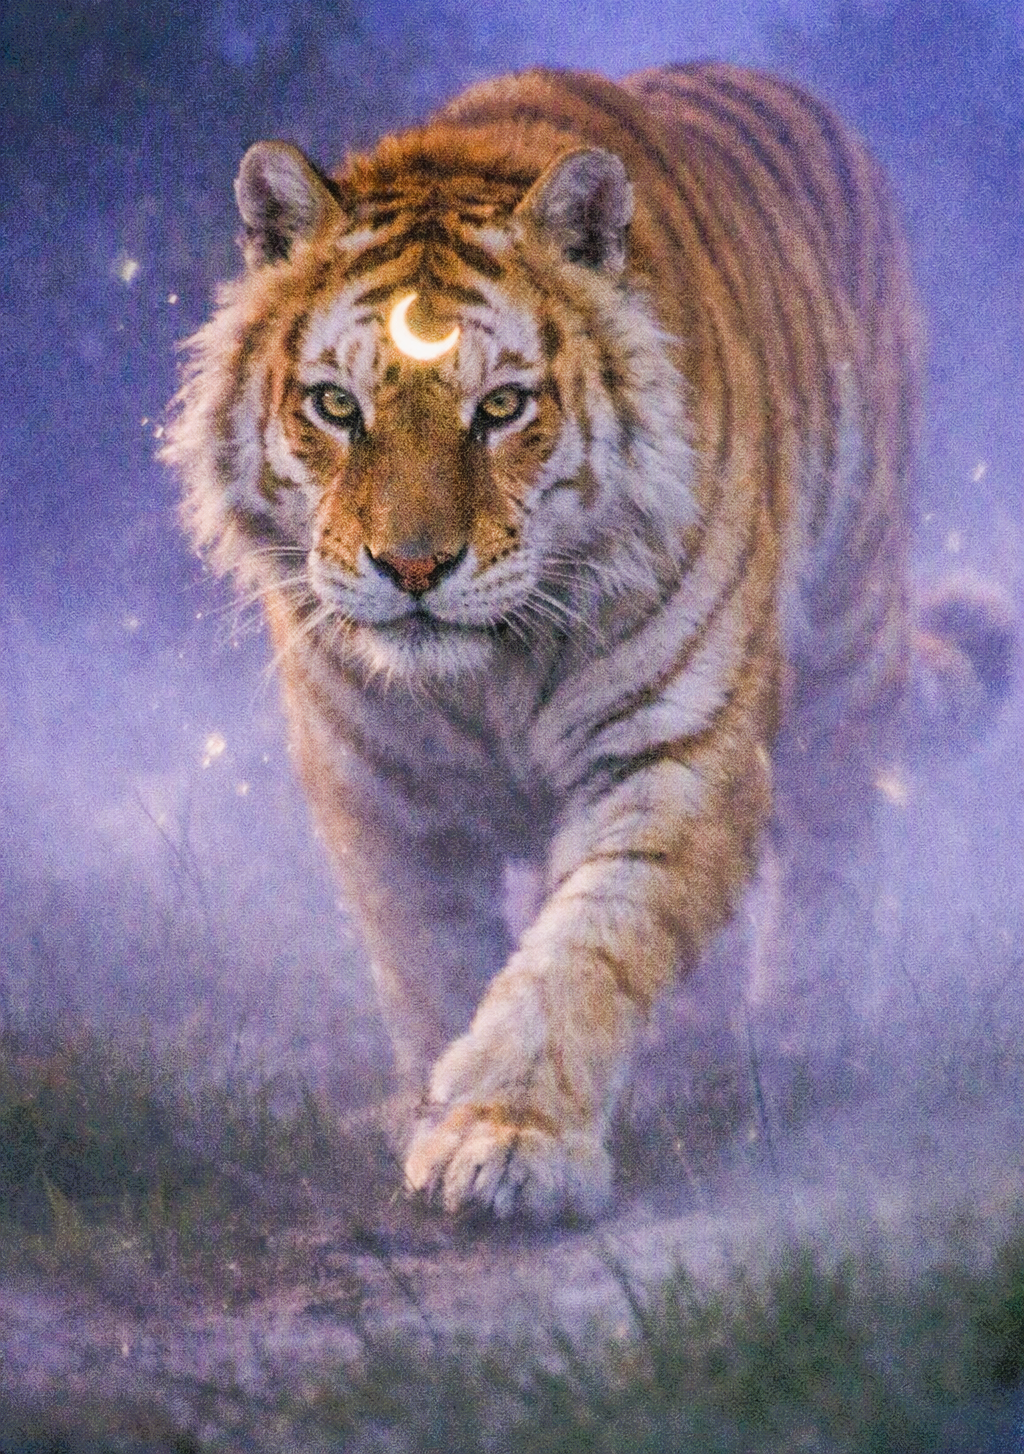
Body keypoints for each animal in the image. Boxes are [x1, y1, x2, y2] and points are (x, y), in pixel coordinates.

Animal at [164, 63, 1015, 1222]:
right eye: (337, 405)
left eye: (501, 407)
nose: (413, 568)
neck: (485, 676)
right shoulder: (381, 791)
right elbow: (433, 965)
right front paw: (434, 1112)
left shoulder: (674, 755)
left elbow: (583, 953)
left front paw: (509, 1140)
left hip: (847, 639)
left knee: (834, 852)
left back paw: (806, 1049)